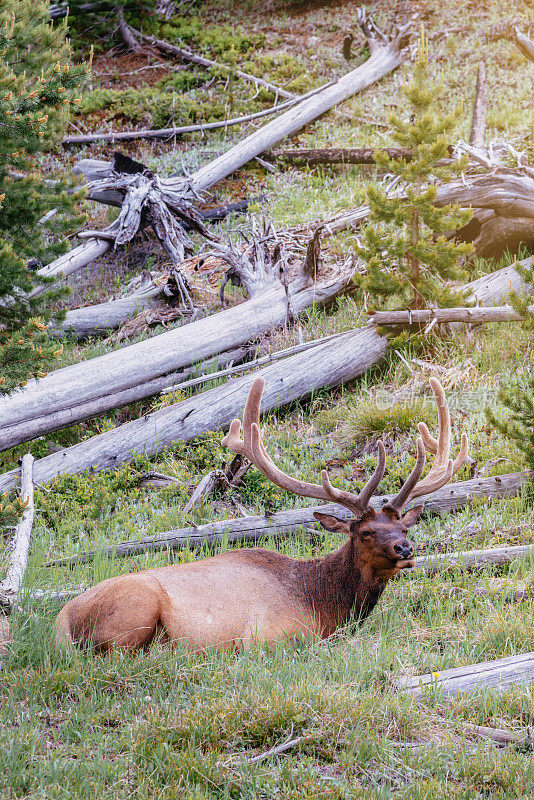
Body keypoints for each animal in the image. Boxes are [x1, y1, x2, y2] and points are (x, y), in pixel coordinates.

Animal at [55, 378, 468, 652]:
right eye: (364, 532)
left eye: (402, 526)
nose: (405, 549)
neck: (324, 603)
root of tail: (61, 624)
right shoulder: (273, 635)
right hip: (135, 608)